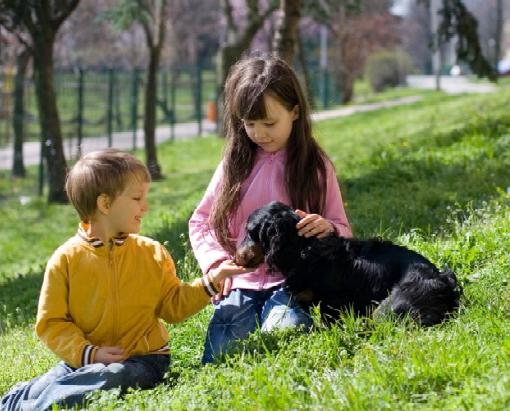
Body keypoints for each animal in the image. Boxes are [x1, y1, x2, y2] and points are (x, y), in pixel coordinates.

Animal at [235, 201, 462, 326]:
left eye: (249, 231)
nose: (235, 258)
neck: (302, 249)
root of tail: (444, 280)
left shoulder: (332, 305)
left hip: (385, 309)